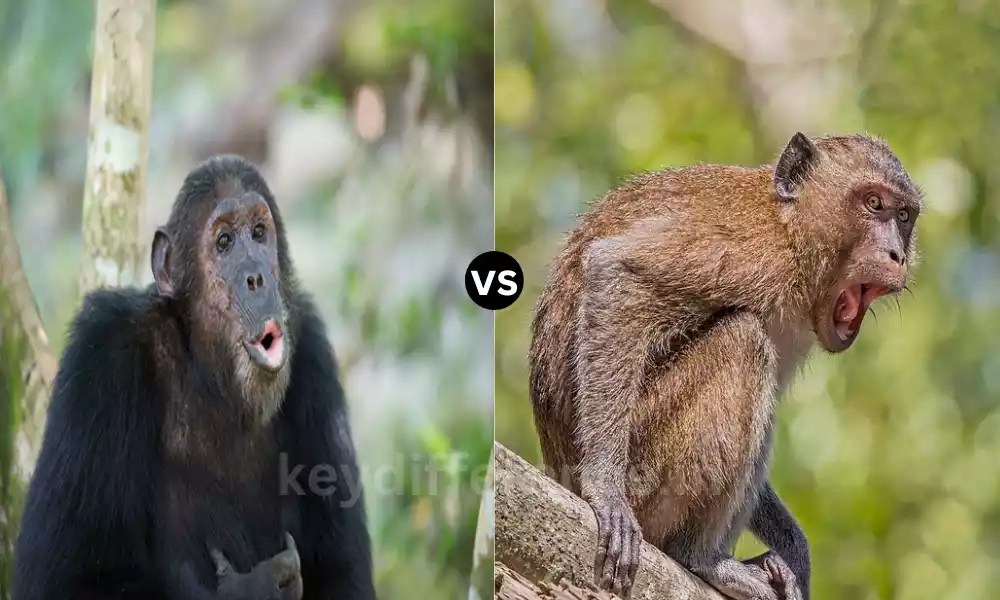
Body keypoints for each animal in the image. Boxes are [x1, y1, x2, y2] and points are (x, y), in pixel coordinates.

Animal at [529, 132, 920, 599]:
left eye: (904, 216)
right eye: (874, 203)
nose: (897, 254)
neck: (791, 229)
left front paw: (796, 553)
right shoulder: (748, 251)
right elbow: (618, 271)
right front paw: (605, 491)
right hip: (645, 470)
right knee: (743, 340)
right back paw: (701, 559)